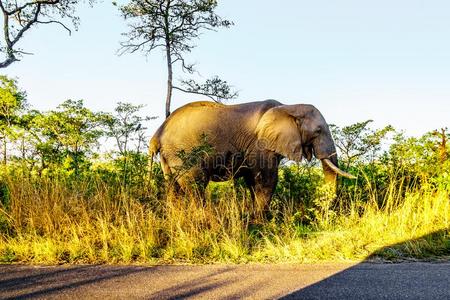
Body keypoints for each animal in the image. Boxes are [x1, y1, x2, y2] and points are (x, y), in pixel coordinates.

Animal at [151, 99, 356, 210]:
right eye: (318, 131)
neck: (289, 107)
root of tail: (158, 133)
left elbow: (253, 182)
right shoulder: (260, 145)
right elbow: (267, 181)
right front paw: (263, 224)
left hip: (169, 158)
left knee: (173, 188)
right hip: (183, 154)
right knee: (196, 187)